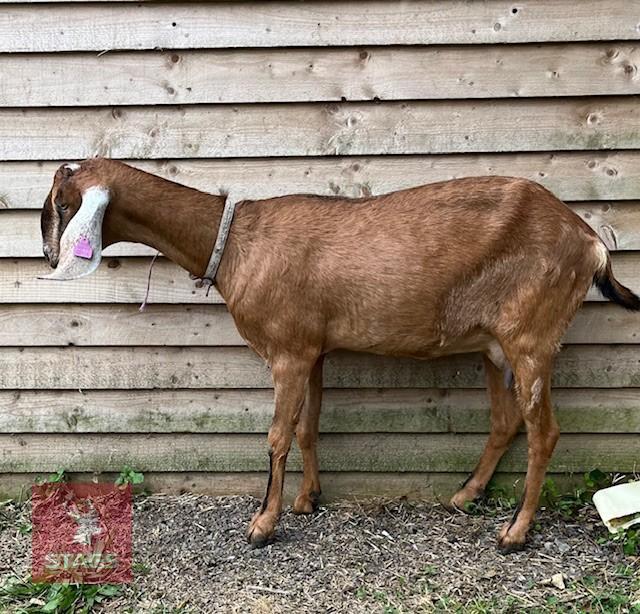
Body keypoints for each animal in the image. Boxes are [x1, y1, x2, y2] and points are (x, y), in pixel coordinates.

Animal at [40, 158, 640, 552]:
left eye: (62, 204)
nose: (45, 253)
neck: (235, 244)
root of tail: (590, 242)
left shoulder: (286, 350)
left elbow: (277, 435)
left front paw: (263, 525)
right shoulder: (312, 348)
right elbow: (308, 426)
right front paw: (308, 500)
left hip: (532, 336)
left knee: (546, 431)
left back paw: (514, 532)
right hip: (495, 346)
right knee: (506, 420)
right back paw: (465, 496)